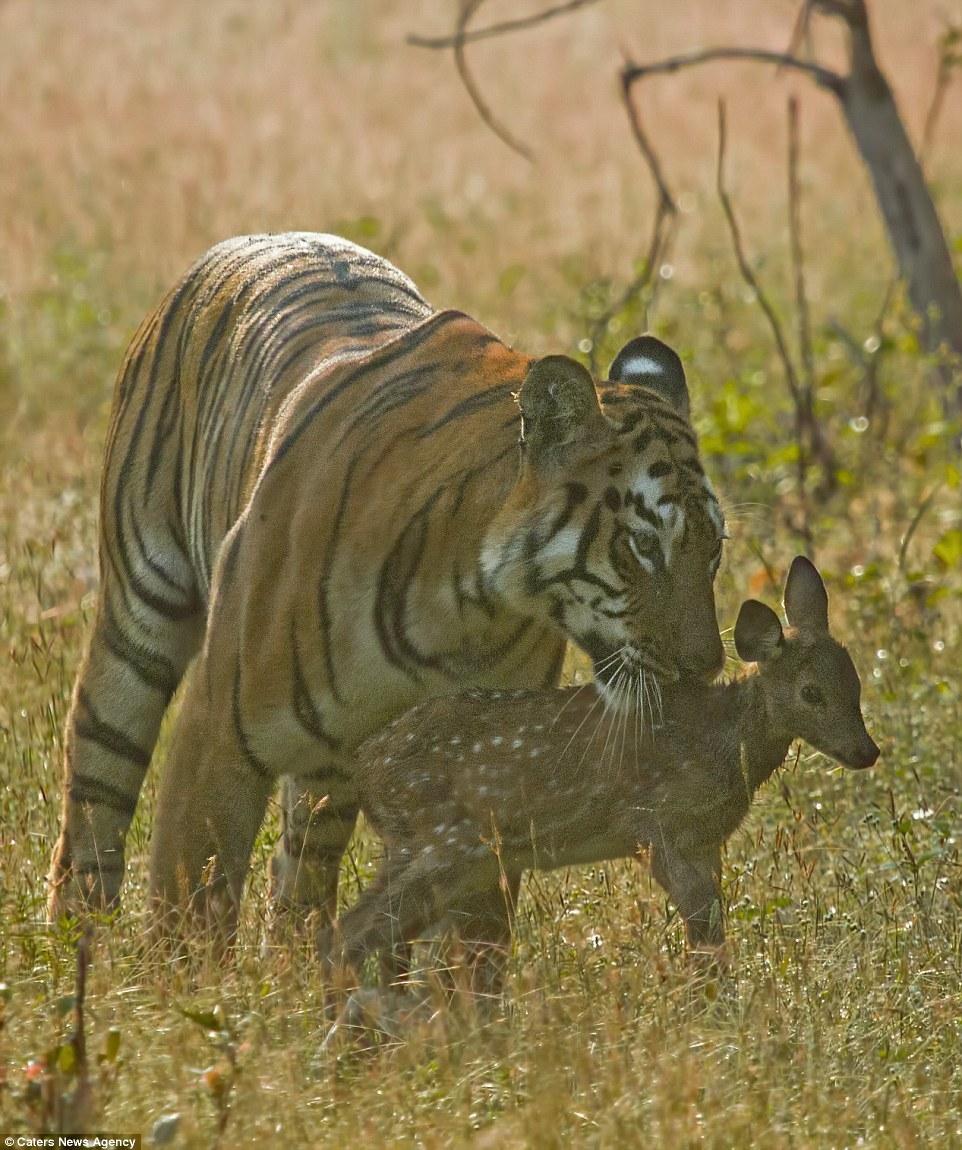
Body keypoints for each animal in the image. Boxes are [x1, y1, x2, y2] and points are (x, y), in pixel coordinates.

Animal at [45, 233, 721, 952]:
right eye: (643, 546)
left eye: (715, 549)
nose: (705, 668)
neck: (467, 606)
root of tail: (251, 240)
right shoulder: (217, 728)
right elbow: (192, 898)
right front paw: (181, 983)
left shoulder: (491, 764)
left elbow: (474, 935)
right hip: (137, 626)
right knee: (94, 801)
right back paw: (73, 945)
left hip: (332, 761)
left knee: (303, 867)